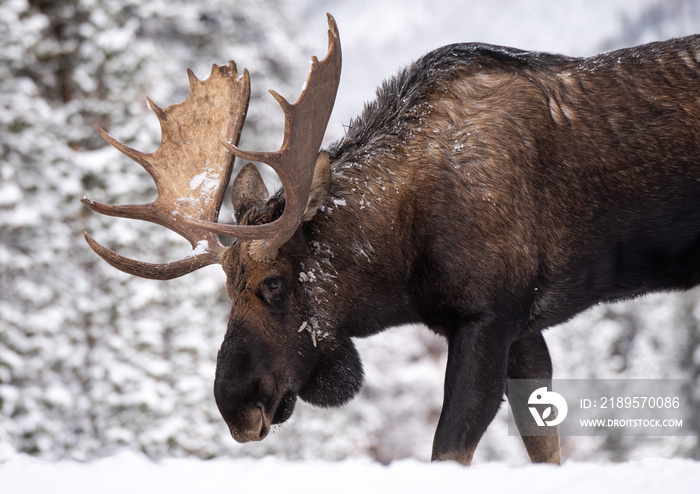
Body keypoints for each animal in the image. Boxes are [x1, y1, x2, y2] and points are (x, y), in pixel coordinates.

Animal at [82, 13, 700, 466]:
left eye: (274, 283)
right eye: (227, 289)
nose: (236, 406)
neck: (401, 265)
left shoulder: (488, 316)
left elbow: (447, 452)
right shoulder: (526, 329)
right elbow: (545, 451)